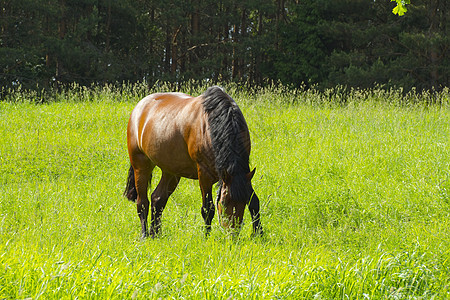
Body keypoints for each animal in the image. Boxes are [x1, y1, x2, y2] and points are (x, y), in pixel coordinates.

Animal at [124, 86, 264, 239]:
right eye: (224, 202)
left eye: (243, 201)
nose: (232, 234)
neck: (212, 125)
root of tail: (139, 108)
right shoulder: (204, 174)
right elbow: (208, 208)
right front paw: (206, 237)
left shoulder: (244, 175)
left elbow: (255, 202)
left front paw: (259, 234)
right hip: (141, 165)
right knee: (142, 202)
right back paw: (145, 235)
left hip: (171, 171)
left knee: (157, 198)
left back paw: (155, 233)